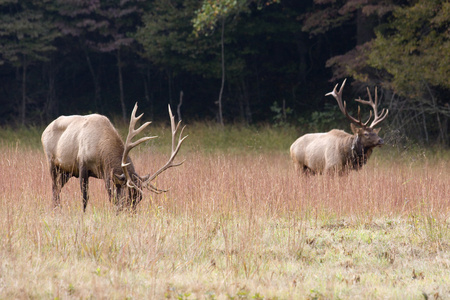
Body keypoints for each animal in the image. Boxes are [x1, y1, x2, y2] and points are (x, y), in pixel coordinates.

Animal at [41, 103, 186, 211]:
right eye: (127, 197)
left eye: (139, 198)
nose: (130, 215)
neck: (101, 152)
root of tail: (44, 131)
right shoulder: (82, 165)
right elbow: (85, 197)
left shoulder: (105, 173)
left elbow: (110, 194)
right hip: (52, 162)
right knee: (54, 188)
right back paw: (56, 209)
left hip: (67, 171)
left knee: (58, 188)